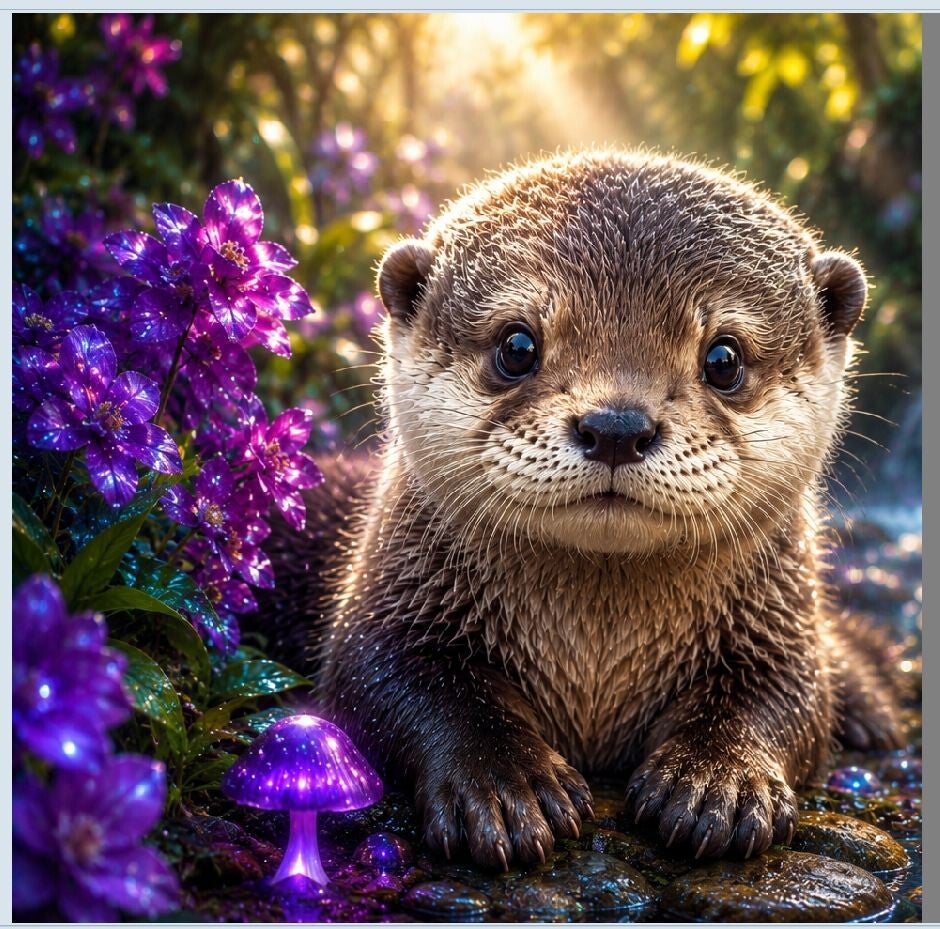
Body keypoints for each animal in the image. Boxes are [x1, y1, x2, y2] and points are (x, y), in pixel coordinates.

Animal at [260, 150, 905, 869]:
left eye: (724, 358)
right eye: (517, 346)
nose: (617, 426)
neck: (596, 665)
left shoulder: (779, 630)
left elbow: (787, 700)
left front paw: (720, 779)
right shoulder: (386, 610)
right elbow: (390, 682)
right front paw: (505, 786)